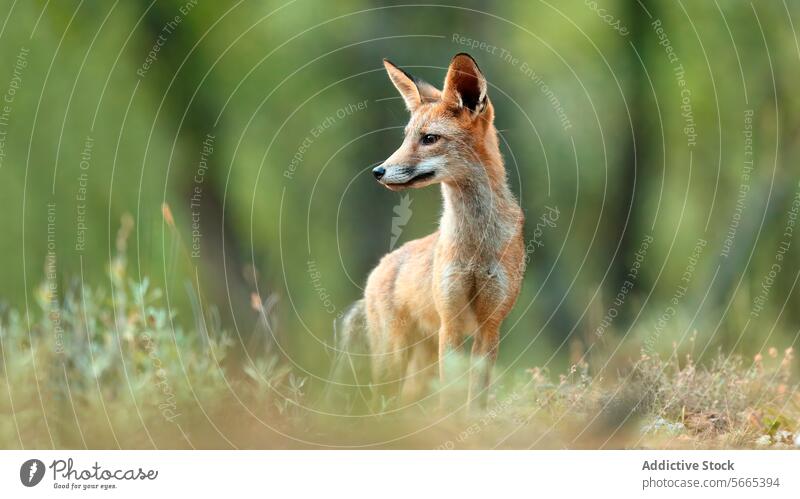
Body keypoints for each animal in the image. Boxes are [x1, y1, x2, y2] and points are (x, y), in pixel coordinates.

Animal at [338, 52, 524, 412]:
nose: (377, 171)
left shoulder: (490, 325)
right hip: (393, 359)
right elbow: (450, 397)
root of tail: (378, 269)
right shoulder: (450, 322)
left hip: (416, 367)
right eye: (406, 137)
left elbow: (475, 399)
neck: (476, 247)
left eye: (429, 139)